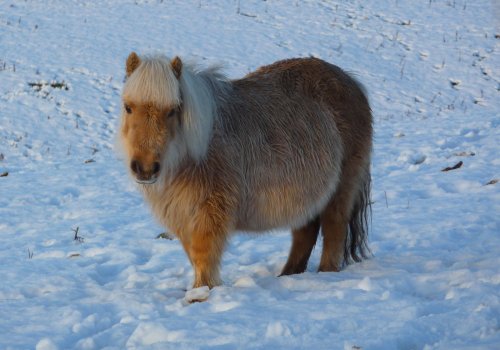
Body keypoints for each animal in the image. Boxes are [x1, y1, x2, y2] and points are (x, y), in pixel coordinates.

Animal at [120, 51, 372, 288]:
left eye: (173, 110)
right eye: (128, 107)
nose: (145, 168)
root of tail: (351, 82)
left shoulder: (210, 211)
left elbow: (204, 256)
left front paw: (201, 294)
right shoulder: (182, 217)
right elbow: (193, 256)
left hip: (341, 189)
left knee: (333, 230)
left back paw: (325, 274)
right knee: (305, 234)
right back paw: (288, 275)